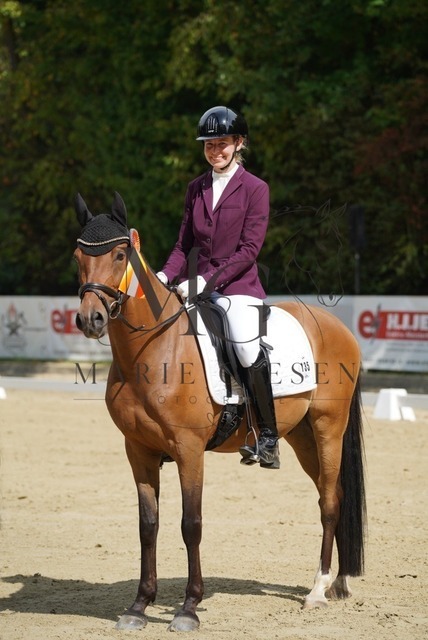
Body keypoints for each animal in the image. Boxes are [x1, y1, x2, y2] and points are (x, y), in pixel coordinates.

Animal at [73, 192, 366, 632]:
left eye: (121, 254)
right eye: (78, 256)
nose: (90, 319)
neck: (153, 350)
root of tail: (337, 326)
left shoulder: (189, 450)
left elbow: (190, 524)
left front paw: (188, 609)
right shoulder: (138, 450)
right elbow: (148, 526)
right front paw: (139, 606)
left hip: (328, 426)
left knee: (330, 501)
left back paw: (317, 591)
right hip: (300, 436)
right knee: (333, 495)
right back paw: (339, 582)